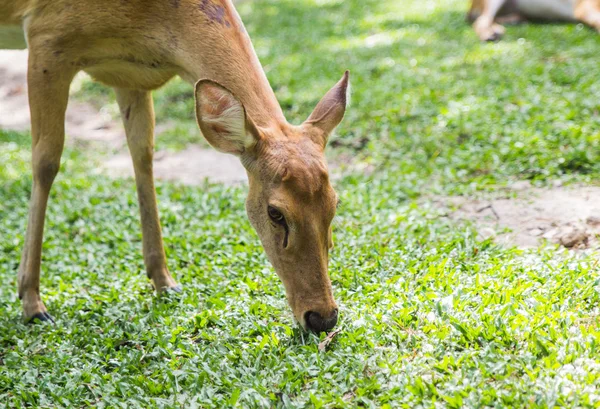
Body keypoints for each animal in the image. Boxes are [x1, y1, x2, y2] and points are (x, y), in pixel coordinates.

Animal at [0, 0, 350, 332]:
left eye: (335, 203)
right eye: (275, 213)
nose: (322, 317)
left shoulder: (127, 73)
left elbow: (143, 154)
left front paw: (165, 281)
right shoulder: (46, 38)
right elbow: (45, 161)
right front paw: (32, 303)